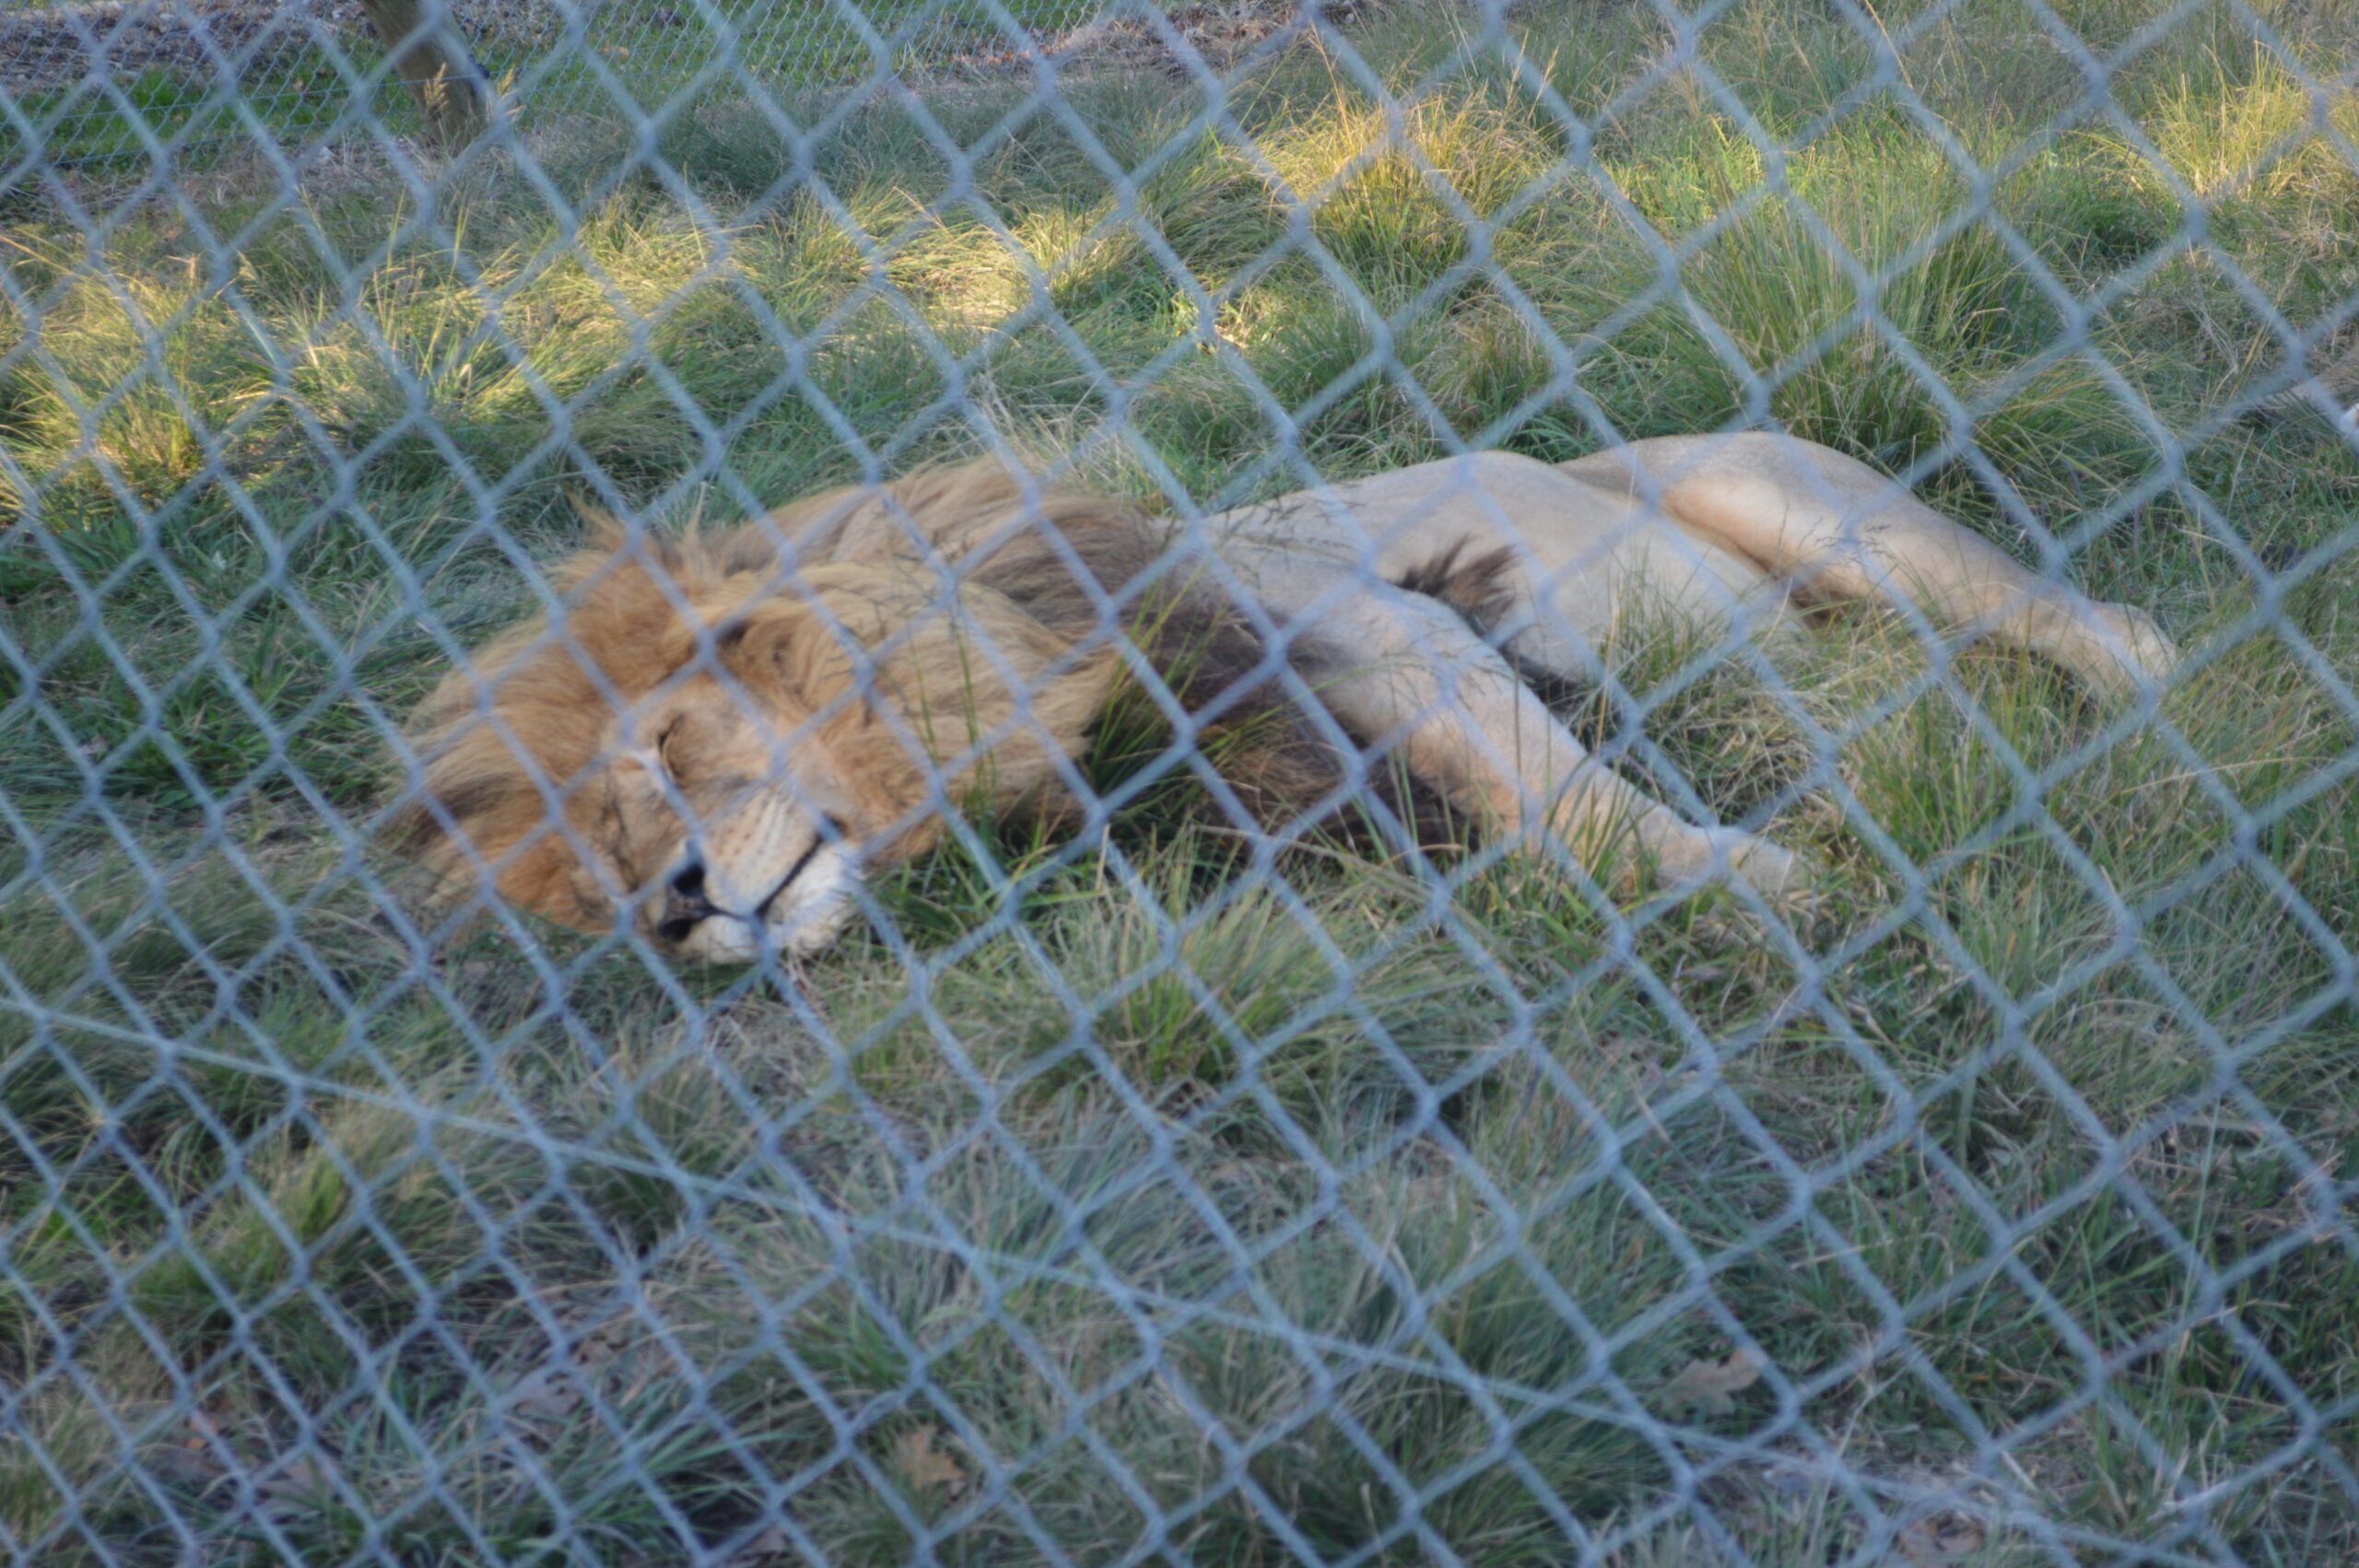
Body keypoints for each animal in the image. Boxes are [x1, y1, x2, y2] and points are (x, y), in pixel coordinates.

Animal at [395, 435, 2175, 962]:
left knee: (2092, 622)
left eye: (665, 752)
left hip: (1805, 503)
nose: (680, 908)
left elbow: (1564, 792)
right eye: (609, 873)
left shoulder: (1388, 618)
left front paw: (1763, 882)